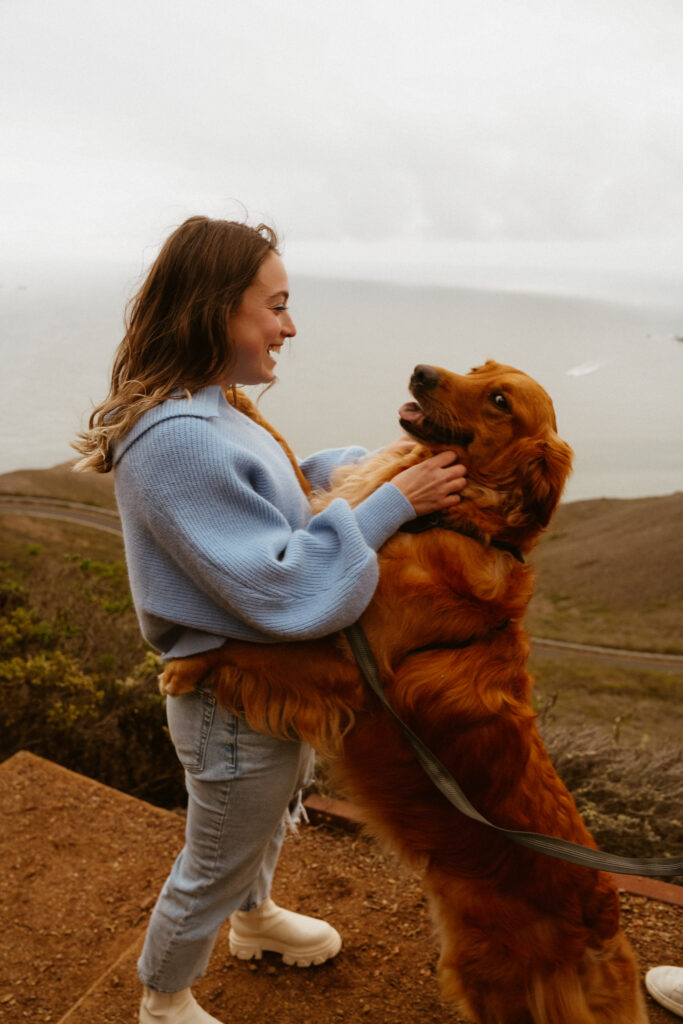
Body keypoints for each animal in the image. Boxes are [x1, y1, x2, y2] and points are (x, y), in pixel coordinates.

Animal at [162, 362, 651, 1024]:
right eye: (478, 367)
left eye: (500, 400)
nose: (420, 370)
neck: (454, 518)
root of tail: (605, 916)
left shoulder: (349, 666)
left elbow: (253, 648)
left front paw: (187, 662)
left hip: (488, 974)